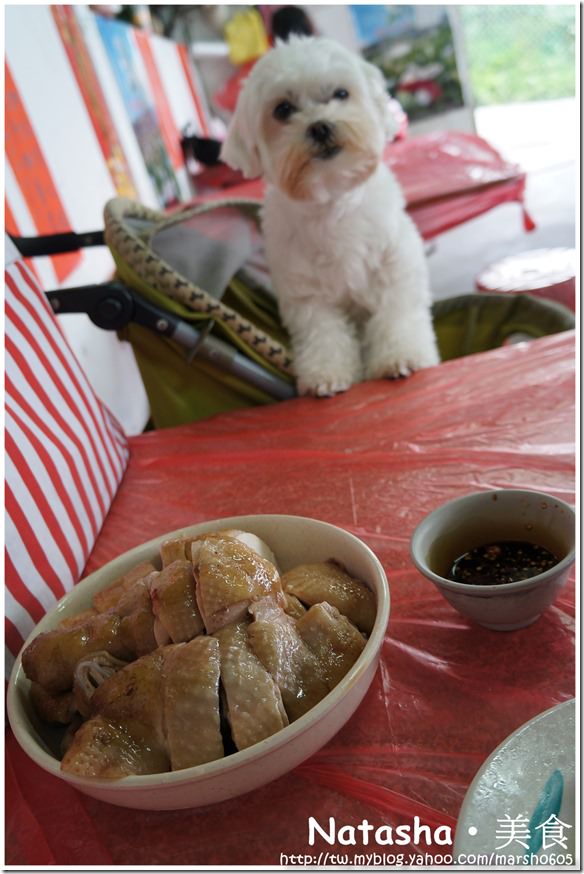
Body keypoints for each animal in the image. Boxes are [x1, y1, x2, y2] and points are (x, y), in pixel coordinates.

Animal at [221, 37, 440, 396]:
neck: (332, 202)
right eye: (283, 110)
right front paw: (326, 374)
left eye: (341, 93)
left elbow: (395, 313)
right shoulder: (305, 292)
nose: (320, 126)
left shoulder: (395, 264)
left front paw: (400, 356)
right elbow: (323, 333)